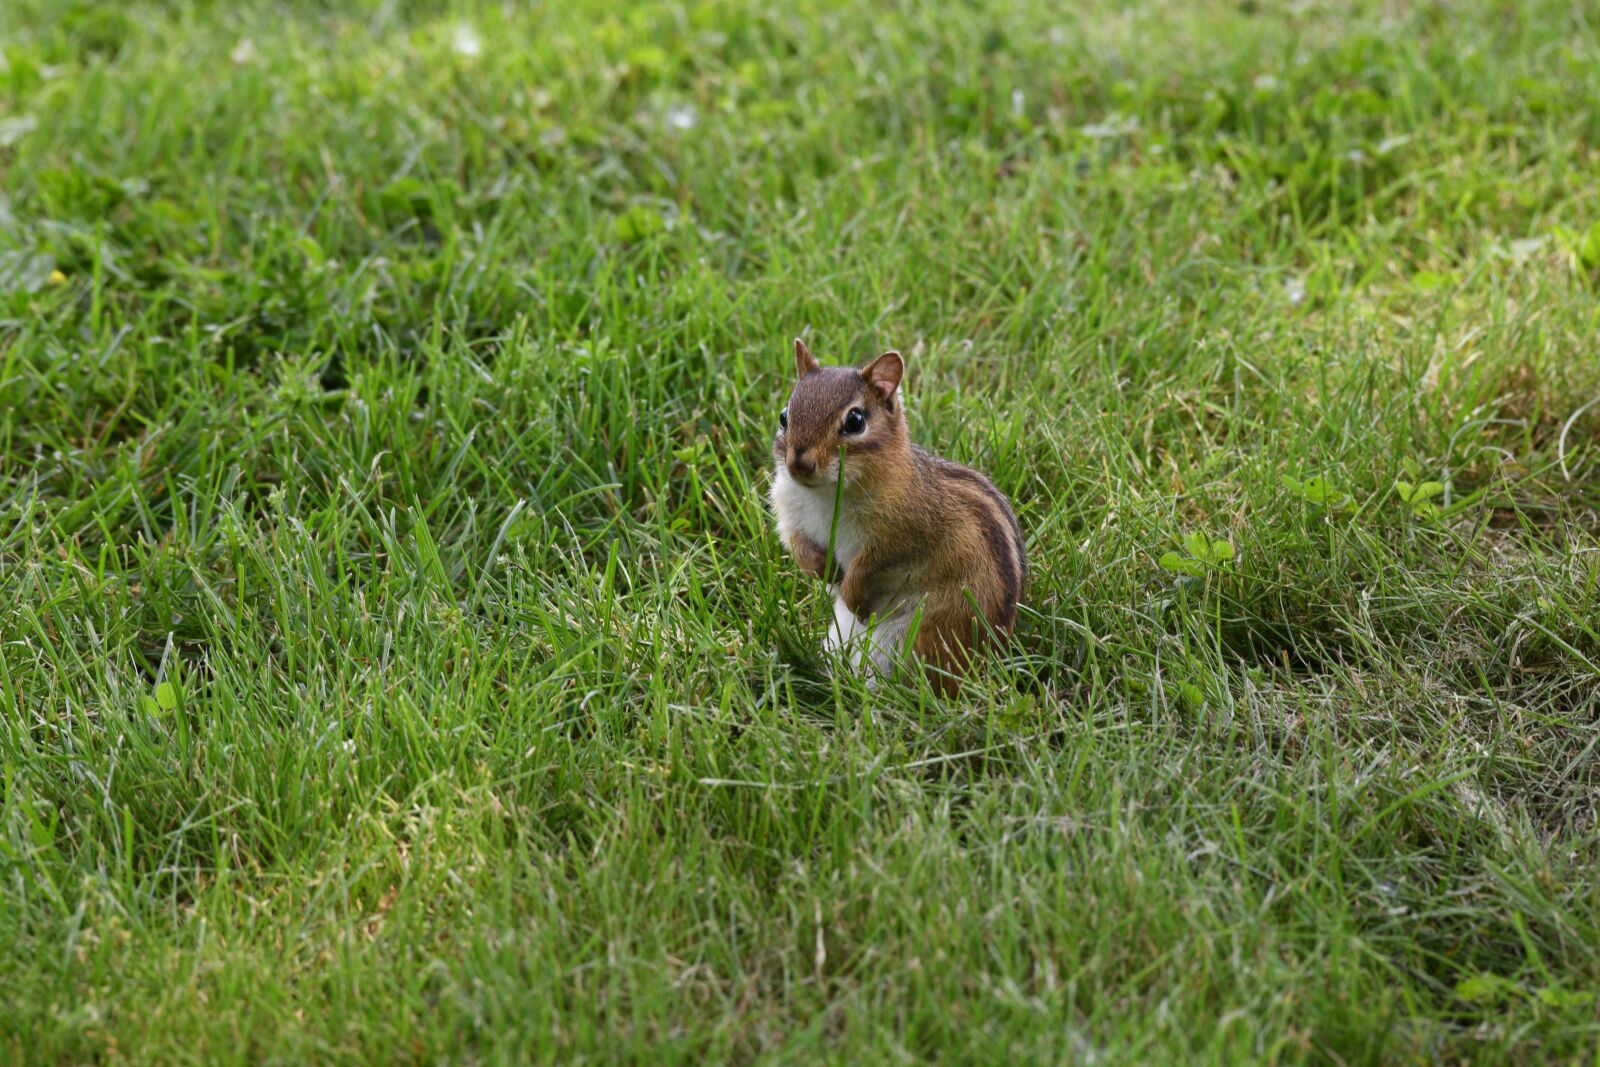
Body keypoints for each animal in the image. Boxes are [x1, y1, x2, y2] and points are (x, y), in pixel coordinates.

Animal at [769, 338, 1026, 691]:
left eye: (855, 422)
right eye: (784, 416)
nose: (799, 464)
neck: (826, 494)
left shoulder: (907, 535)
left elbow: (871, 564)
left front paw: (851, 593)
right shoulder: (791, 515)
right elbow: (797, 545)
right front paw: (824, 571)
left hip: (919, 637)